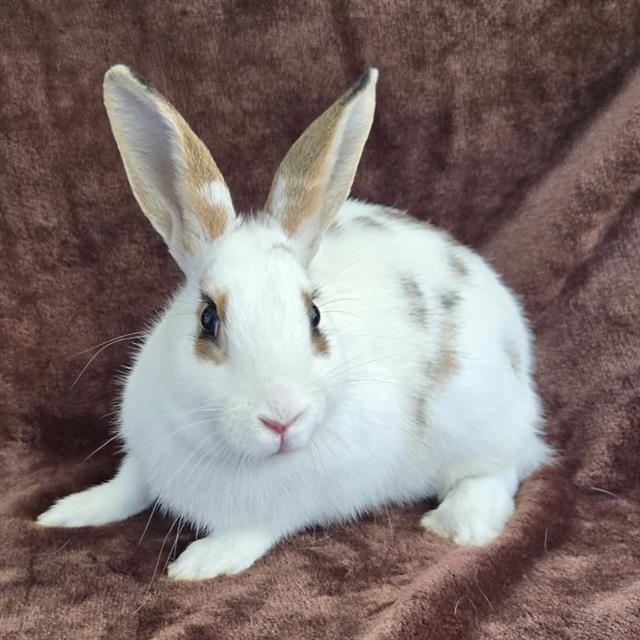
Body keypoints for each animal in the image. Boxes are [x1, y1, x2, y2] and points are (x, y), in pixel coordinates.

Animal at [37, 64, 553, 580]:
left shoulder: (292, 505)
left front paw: (199, 563)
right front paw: (68, 511)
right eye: (208, 318)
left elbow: (254, 530)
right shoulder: (144, 458)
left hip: (481, 424)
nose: (282, 419)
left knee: (501, 468)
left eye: (315, 315)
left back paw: (460, 524)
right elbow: (127, 487)